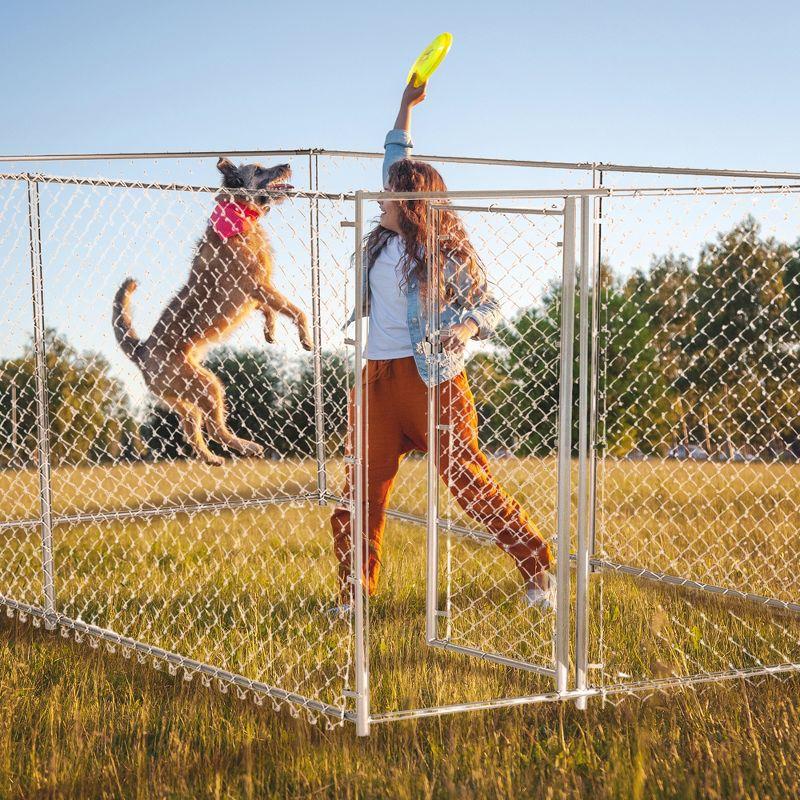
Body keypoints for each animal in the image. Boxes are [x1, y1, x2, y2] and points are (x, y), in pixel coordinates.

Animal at [112, 157, 312, 466]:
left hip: (184, 400)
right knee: (215, 428)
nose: (287, 164)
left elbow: (270, 309)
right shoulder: (259, 286)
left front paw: (270, 329)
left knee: (192, 430)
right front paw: (305, 336)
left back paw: (210, 457)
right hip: (209, 385)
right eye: (258, 170)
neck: (239, 214)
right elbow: (295, 310)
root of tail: (141, 351)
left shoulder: (256, 294)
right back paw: (247, 446)